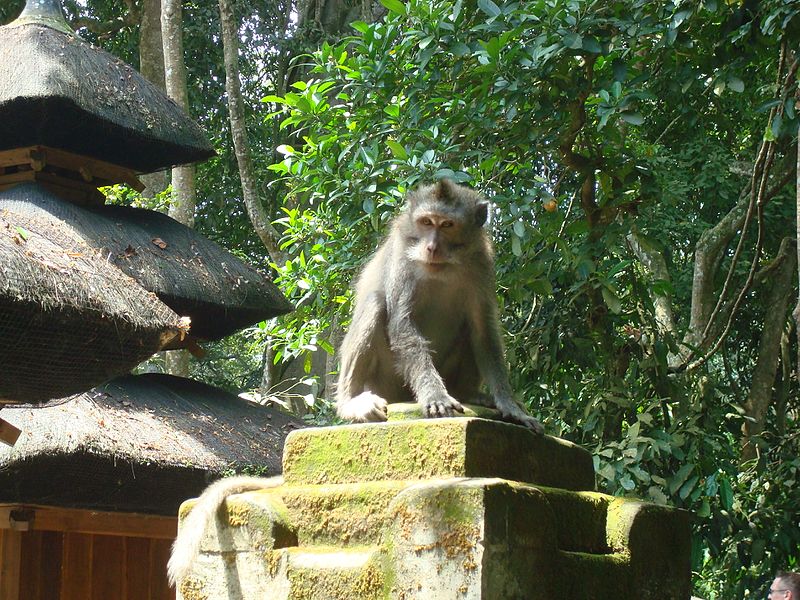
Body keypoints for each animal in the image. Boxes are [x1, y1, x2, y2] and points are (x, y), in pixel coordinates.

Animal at [334, 176, 548, 434]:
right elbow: (402, 323)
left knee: (470, 328)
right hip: (385, 382)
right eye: (426, 222)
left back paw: (470, 394)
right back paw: (350, 403)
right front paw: (434, 395)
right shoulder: (402, 254)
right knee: (375, 302)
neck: (444, 266)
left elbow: (483, 329)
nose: (431, 247)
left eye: (447, 225)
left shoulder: (481, 261)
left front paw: (509, 405)